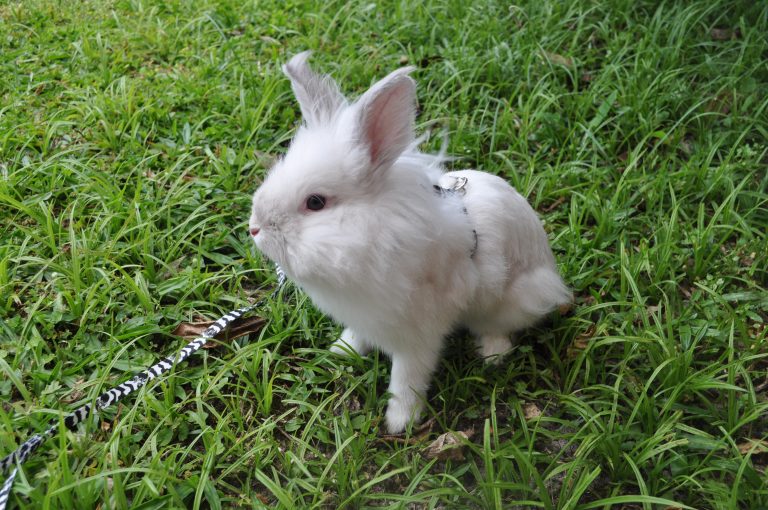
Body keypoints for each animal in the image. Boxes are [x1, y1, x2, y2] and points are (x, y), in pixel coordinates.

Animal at [249, 51, 572, 432]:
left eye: (315, 202)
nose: (254, 228)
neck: (377, 235)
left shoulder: (417, 335)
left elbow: (407, 379)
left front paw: (400, 421)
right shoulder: (365, 318)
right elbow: (358, 337)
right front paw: (341, 350)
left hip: (514, 298)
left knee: (499, 328)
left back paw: (493, 355)